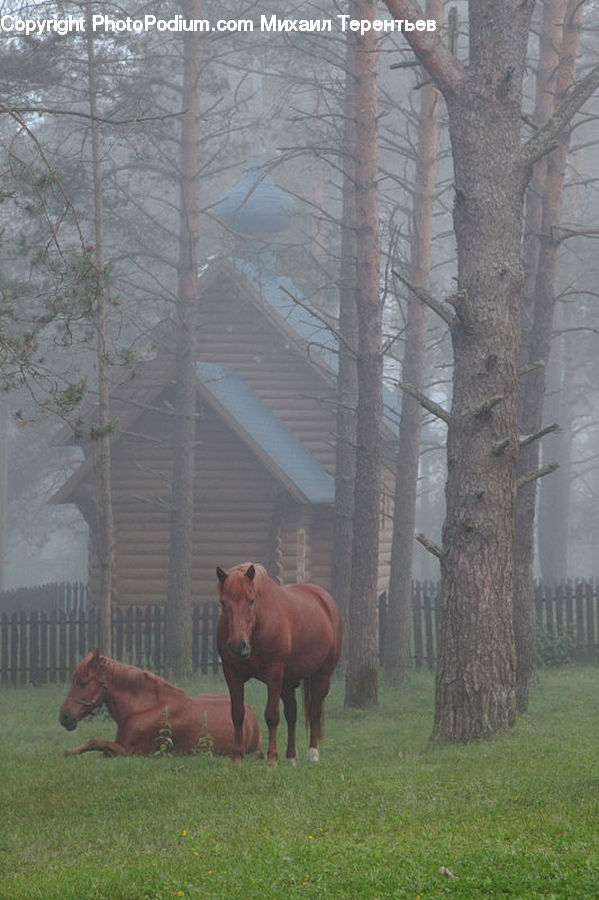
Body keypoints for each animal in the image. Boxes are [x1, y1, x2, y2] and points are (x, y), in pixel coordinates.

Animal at [59, 650, 262, 758]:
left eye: (83, 683)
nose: (65, 717)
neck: (144, 708)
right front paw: (69, 752)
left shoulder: (132, 752)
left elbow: (96, 741)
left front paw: (68, 752)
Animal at [216, 562, 342, 765]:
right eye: (223, 602)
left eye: (251, 601)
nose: (237, 646)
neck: (260, 625)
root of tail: (325, 601)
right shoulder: (232, 674)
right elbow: (237, 714)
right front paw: (237, 757)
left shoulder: (274, 675)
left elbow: (272, 716)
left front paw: (272, 758)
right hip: (287, 683)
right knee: (292, 714)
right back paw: (291, 756)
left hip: (322, 676)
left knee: (313, 711)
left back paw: (313, 753)